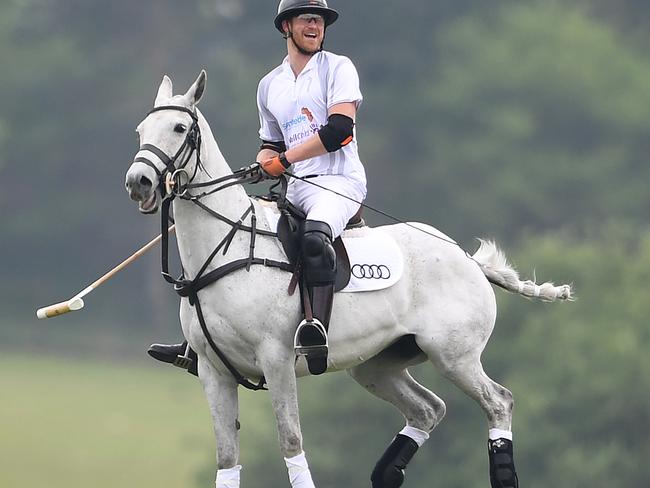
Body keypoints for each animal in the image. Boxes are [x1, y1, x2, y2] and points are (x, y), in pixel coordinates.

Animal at [124, 71, 568, 488]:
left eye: (179, 128)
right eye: (141, 130)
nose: (138, 182)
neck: (226, 247)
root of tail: (468, 258)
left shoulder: (276, 359)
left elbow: (291, 442)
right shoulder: (212, 371)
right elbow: (226, 458)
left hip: (454, 354)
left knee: (499, 401)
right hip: (377, 364)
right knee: (428, 408)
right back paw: (385, 473)